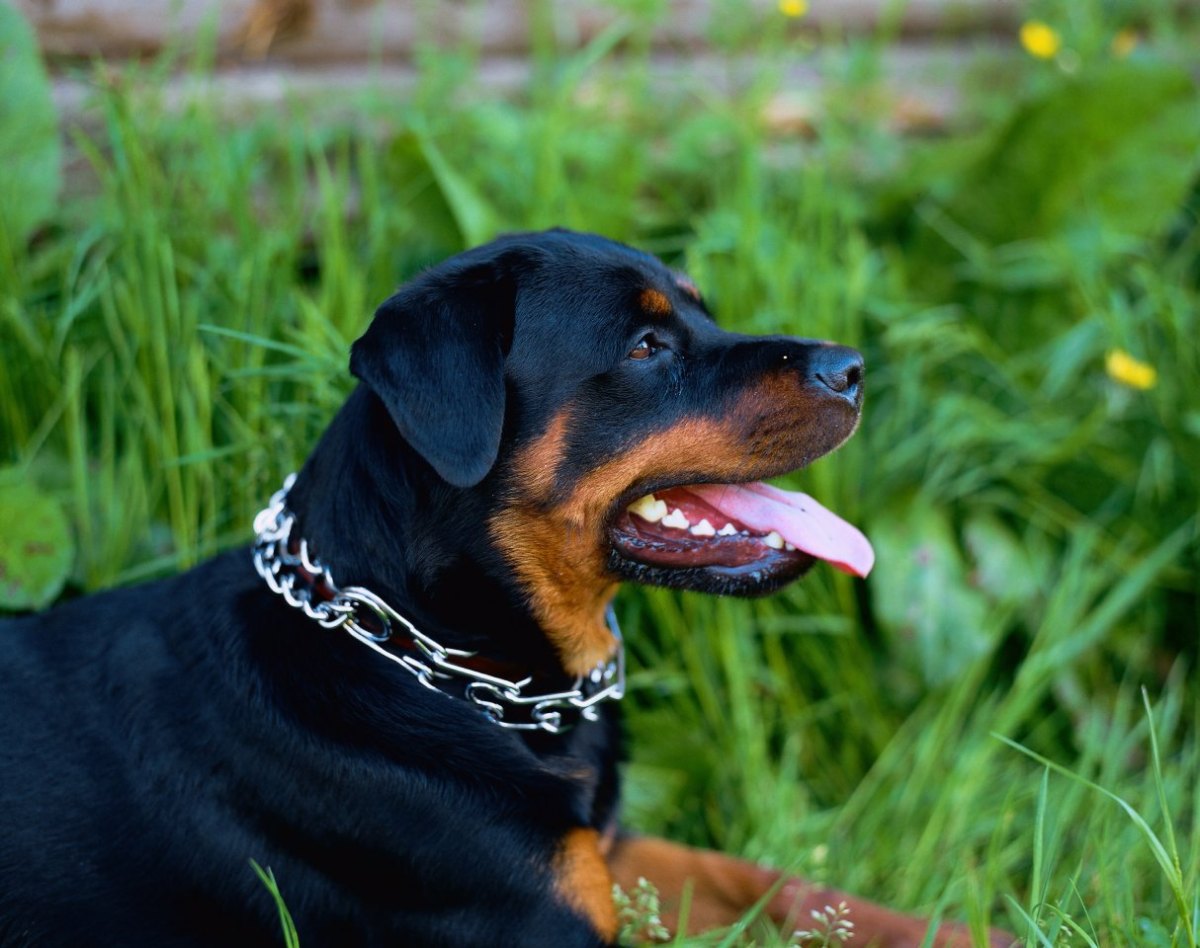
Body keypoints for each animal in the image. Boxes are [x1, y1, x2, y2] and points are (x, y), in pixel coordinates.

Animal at [0, 231, 1008, 948]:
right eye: (646, 346)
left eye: (703, 319)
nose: (853, 368)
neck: (446, 661)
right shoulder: (542, 917)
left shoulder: (612, 855)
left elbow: (783, 884)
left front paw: (973, 930)